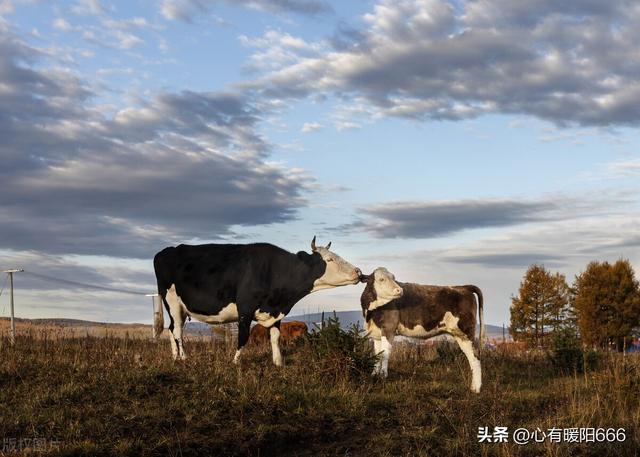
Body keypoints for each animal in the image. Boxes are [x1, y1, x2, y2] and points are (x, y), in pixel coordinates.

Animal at [154, 239, 360, 364]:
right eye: (330, 259)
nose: (358, 271)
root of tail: (165, 251)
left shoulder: (275, 312)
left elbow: (275, 337)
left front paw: (278, 363)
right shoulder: (245, 308)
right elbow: (243, 337)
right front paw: (235, 363)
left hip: (180, 308)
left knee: (172, 329)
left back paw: (175, 358)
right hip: (172, 301)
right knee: (177, 331)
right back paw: (184, 358)